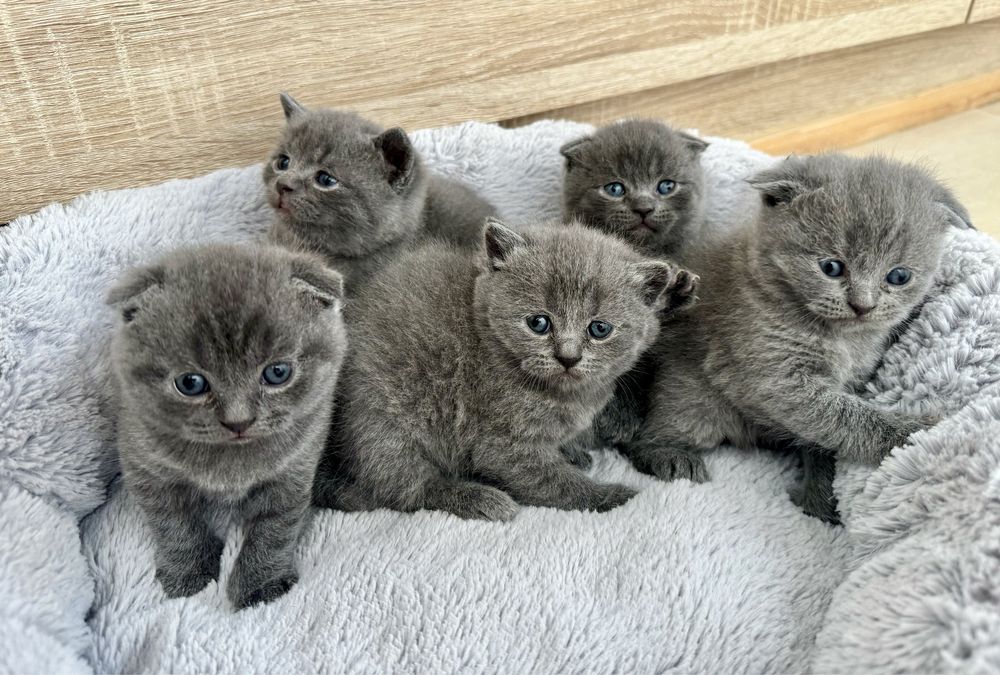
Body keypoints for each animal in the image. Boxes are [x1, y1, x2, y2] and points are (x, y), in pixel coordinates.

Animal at [106, 244, 348, 612]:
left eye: (278, 372)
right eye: (190, 383)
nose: (238, 421)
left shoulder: (295, 466)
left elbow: (275, 526)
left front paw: (260, 584)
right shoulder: (144, 463)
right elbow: (172, 522)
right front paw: (188, 573)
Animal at [316, 219, 700, 520]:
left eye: (600, 329)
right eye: (539, 323)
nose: (568, 357)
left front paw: (571, 451)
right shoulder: (503, 443)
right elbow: (555, 482)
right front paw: (611, 497)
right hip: (383, 421)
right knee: (405, 488)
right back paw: (480, 498)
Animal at [628, 153, 972, 524]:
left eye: (898, 276)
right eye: (831, 268)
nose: (863, 305)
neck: (843, 339)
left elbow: (824, 435)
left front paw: (819, 492)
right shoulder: (774, 376)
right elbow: (846, 417)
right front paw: (917, 432)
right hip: (692, 396)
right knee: (647, 437)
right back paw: (670, 455)